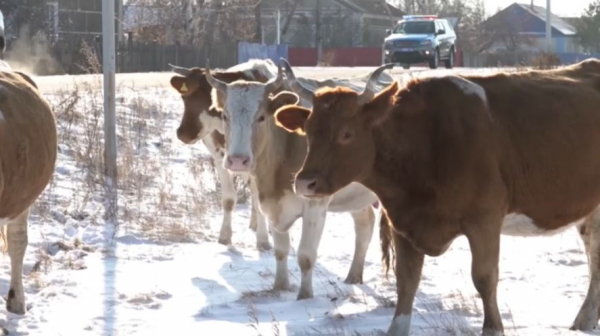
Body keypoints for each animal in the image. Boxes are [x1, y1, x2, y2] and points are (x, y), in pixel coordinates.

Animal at [276, 59, 600, 334]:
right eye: (308, 131)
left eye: (347, 133)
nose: (305, 182)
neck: (425, 142)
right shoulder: (402, 222)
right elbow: (406, 281)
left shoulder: (484, 220)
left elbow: (484, 278)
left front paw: (493, 328)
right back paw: (585, 320)